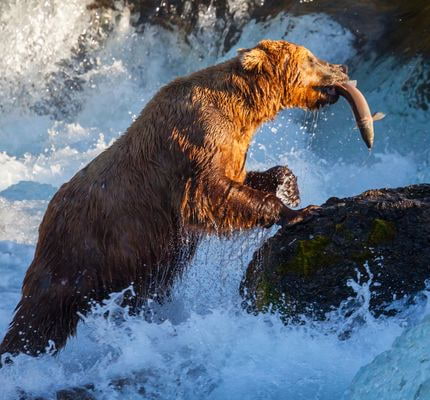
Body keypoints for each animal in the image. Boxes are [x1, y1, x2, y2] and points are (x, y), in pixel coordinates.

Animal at [0, 39, 350, 356]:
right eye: (310, 58)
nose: (342, 68)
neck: (242, 111)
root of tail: (47, 214)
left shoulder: (231, 149)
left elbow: (241, 181)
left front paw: (289, 185)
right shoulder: (195, 145)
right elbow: (211, 195)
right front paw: (299, 211)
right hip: (82, 248)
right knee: (42, 312)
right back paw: (19, 353)